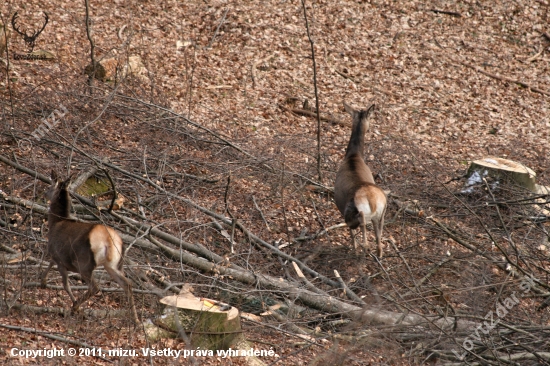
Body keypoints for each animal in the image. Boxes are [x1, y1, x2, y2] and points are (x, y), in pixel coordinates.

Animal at [41, 170, 139, 322]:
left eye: (50, 186)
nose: (44, 194)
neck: (55, 223)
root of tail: (108, 240)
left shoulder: (58, 255)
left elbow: (65, 285)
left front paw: (75, 305)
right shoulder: (57, 255)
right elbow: (50, 264)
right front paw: (43, 282)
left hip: (85, 263)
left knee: (95, 287)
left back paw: (75, 307)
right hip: (114, 264)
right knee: (127, 284)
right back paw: (136, 321)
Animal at [334, 103, 386, 258]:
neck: (353, 157)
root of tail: (372, 200)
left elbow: (351, 233)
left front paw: (355, 248)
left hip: (357, 209)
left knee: (361, 220)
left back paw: (364, 246)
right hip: (382, 213)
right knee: (379, 236)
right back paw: (378, 252)